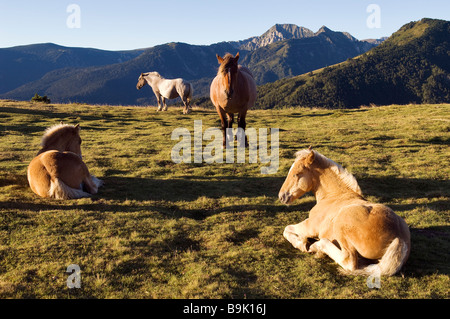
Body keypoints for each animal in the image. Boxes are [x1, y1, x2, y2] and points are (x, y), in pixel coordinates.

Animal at [282, 149, 412, 276]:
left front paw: (302, 243)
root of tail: (400, 238)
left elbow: (286, 229)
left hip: (341, 225)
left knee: (348, 260)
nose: (282, 196)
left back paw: (317, 247)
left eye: (296, 174)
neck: (334, 196)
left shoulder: (310, 226)